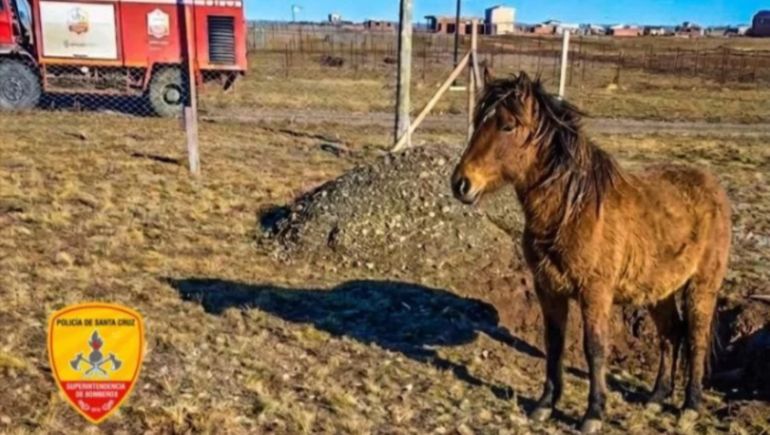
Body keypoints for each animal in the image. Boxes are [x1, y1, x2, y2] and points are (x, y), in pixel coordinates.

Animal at [451, 71, 731, 433]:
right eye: (477, 122)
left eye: (507, 126)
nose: (461, 184)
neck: (572, 211)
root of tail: (713, 186)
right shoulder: (549, 290)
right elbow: (554, 343)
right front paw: (545, 405)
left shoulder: (595, 293)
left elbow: (594, 348)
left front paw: (593, 414)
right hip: (660, 292)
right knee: (671, 334)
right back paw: (657, 398)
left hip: (701, 287)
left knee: (695, 337)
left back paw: (690, 407)